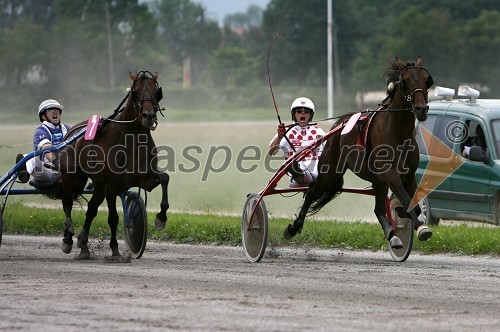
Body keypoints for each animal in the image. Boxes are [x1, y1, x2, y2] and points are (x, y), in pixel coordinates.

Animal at [59, 70, 169, 260]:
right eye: (135, 92)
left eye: (157, 92)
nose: (148, 116)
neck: (132, 138)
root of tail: (72, 132)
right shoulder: (111, 184)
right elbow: (113, 218)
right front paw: (115, 251)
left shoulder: (145, 178)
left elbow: (164, 178)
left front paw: (160, 218)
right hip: (70, 176)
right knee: (67, 202)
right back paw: (68, 238)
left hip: (98, 184)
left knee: (91, 209)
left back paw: (83, 246)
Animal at [286, 57, 434, 248]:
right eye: (405, 81)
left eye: (425, 80)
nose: (421, 109)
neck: (398, 132)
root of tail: (339, 123)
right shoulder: (391, 174)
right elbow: (407, 200)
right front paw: (421, 228)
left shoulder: (408, 176)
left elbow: (412, 204)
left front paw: (403, 214)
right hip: (331, 171)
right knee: (312, 191)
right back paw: (294, 227)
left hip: (378, 181)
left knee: (378, 209)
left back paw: (392, 235)